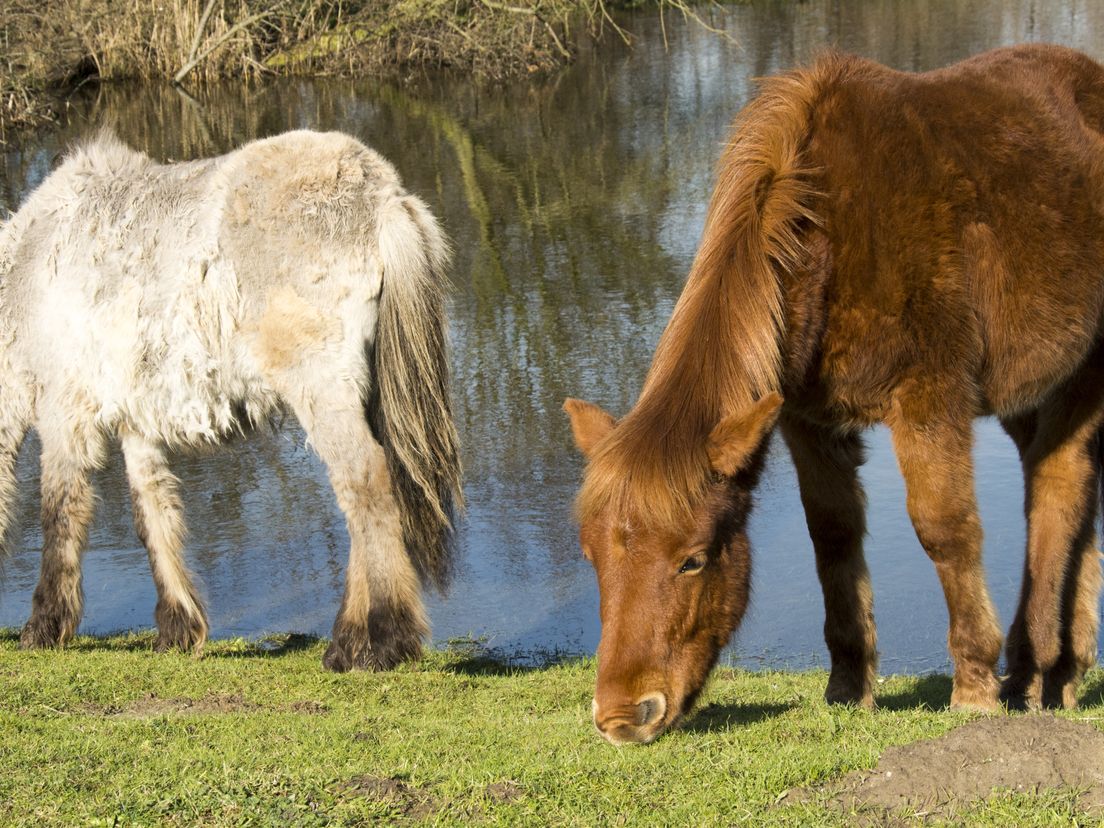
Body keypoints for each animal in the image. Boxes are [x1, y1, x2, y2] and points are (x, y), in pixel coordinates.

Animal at [0, 131, 461, 675]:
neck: (26, 273)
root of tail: (382, 197)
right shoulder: (136, 426)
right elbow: (152, 513)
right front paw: (178, 630)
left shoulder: (64, 413)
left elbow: (60, 511)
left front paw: (43, 628)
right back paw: (346, 642)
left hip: (322, 389)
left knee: (365, 484)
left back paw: (382, 641)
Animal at [565, 43, 1104, 746]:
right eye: (592, 556)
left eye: (693, 561)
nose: (624, 717)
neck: (825, 238)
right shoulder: (808, 421)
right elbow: (833, 536)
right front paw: (850, 687)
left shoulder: (930, 400)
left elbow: (946, 530)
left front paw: (974, 687)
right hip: (1030, 389)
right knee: (1070, 495)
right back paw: (1065, 669)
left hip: (1084, 372)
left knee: (1059, 494)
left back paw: (1029, 668)